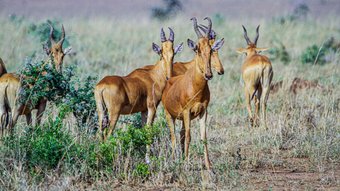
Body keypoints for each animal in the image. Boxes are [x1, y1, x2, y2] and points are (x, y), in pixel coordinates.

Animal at [161, 17, 224, 170]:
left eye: (211, 50)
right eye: (198, 50)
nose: (209, 74)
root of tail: (169, 80)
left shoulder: (203, 112)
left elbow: (203, 137)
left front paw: (209, 166)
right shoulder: (186, 112)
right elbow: (189, 136)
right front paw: (186, 164)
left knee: (181, 134)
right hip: (169, 115)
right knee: (173, 136)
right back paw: (175, 159)